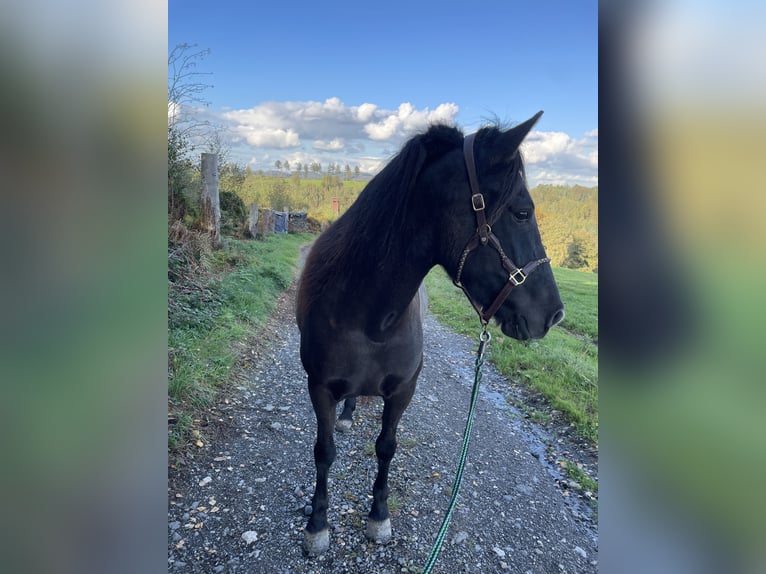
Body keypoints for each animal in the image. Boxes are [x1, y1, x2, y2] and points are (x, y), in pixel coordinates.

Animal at [294, 110, 564, 556]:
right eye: (523, 212)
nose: (555, 315)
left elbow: (386, 448)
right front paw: (317, 525)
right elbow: (324, 452)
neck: (369, 319)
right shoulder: (318, 387)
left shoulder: (405, 390)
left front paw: (378, 517)